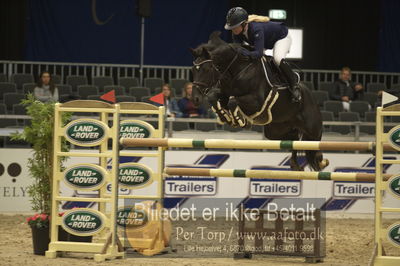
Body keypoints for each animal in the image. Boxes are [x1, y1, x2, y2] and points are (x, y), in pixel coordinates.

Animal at [190, 32, 328, 171]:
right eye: (193, 70)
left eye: (206, 69)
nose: (195, 98)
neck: (238, 69)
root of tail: (313, 97)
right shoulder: (224, 94)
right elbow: (214, 97)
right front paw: (225, 117)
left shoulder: (256, 102)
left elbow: (233, 102)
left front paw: (240, 120)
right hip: (275, 130)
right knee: (294, 140)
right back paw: (295, 164)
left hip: (312, 130)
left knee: (313, 145)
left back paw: (321, 161)